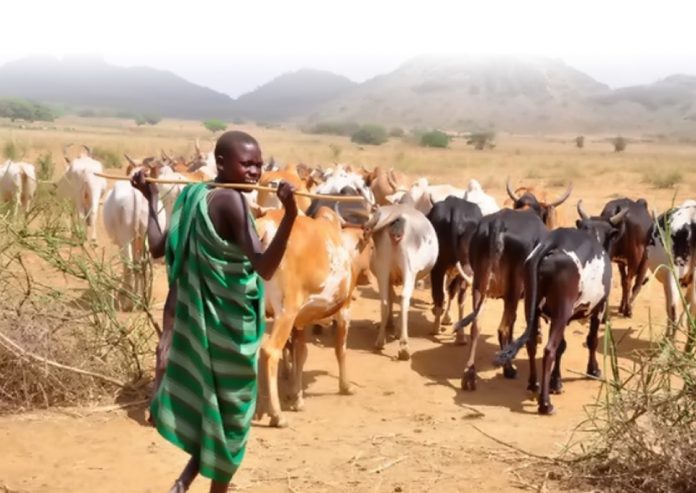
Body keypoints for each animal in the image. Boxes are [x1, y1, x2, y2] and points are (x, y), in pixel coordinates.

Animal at [368, 202, 438, 360]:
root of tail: (398, 216)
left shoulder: (387, 277)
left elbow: (390, 298)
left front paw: (391, 325)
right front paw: (395, 328)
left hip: (383, 267)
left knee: (384, 302)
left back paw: (380, 341)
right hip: (409, 269)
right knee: (404, 299)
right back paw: (404, 346)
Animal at [426, 194, 482, 332]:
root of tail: (455, 213)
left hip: (439, 265)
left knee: (442, 294)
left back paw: (437, 326)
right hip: (463, 266)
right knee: (460, 295)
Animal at [454, 208, 552, 388]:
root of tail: (498, 224)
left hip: (479, 285)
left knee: (476, 325)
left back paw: (469, 374)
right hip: (513, 289)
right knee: (502, 329)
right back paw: (508, 369)